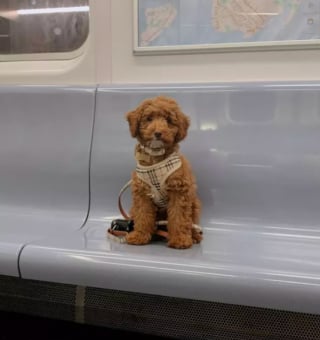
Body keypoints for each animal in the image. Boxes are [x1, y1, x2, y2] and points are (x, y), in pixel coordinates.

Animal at [125, 94, 202, 248]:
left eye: (168, 121)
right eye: (149, 119)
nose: (158, 133)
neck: (157, 157)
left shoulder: (179, 191)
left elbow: (179, 217)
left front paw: (180, 239)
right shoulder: (142, 192)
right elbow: (142, 215)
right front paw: (139, 236)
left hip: (195, 204)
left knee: (192, 223)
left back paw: (194, 236)